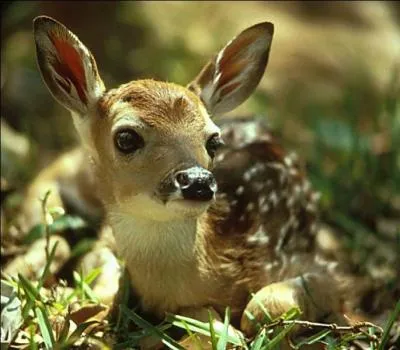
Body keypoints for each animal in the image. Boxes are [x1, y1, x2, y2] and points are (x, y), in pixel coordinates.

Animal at [26, 15, 352, 344]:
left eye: (214, 141)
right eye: (126, 138)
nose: (198, 181)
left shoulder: (320, 267)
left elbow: (259, 310)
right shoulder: (106, 242)